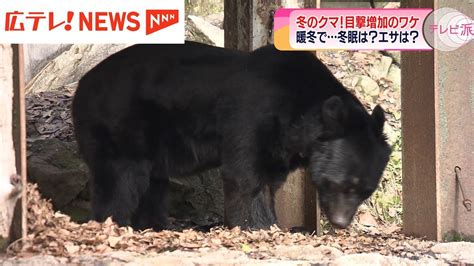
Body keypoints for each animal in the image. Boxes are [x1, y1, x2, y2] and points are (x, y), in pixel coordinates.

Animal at [73, 41, 392, 231]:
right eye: (343, 184)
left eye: (366, 189)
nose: (340, 223)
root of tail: (82, 84)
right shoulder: (252, 115)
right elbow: (245, 174)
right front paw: (258, 225)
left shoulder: (281, 144)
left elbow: (269, 178)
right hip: (121, 123)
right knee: (121, 178)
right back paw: (113, 221)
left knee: (153, 184)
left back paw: (154, 224)